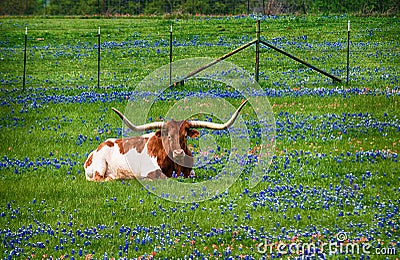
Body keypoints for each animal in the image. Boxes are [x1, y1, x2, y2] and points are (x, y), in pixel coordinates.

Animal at [84, 100, 247, 181]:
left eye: (185, 135)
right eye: (168, 135)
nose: (178, 152)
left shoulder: (190, 173)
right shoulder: (151, 171)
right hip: (100, 165)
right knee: (99, 178)